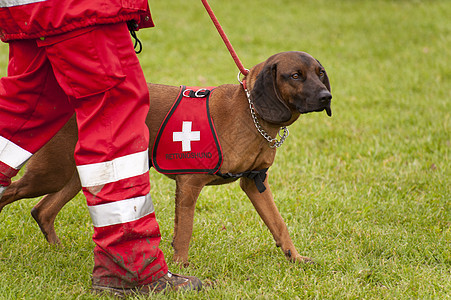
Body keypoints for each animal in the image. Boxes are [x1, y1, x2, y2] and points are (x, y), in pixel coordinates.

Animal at [0, 51, 332, 264]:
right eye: (295, 75)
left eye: (320, 74)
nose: (327, 97)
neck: (250, 112)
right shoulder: (189, 184)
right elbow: (184, 231)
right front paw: (181, 267)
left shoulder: (255, 183)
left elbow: (279, 224)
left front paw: (295, 257)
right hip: (49, 173)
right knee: (10, 193)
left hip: (80, 174)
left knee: (42, 211)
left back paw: (59, 252)